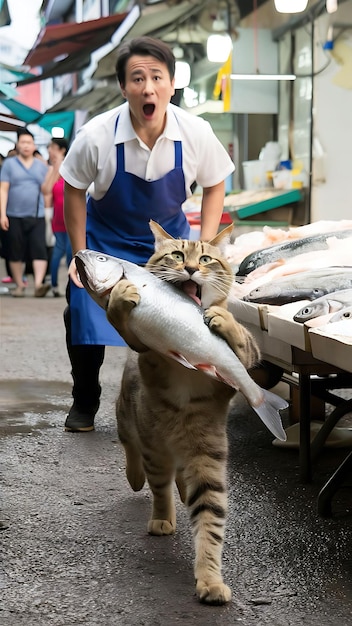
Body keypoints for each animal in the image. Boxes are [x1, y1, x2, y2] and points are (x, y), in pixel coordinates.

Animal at [108, 221, 260, 604]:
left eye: (205, 258)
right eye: (177, 255)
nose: (190, 268)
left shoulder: (212, 446)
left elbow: (209, 519)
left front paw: (210, 580)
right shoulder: (146, 356)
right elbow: (161, 492)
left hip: (201, 449)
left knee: (184, 483)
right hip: (137, 427)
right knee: (137, 458)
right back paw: (141, 484)